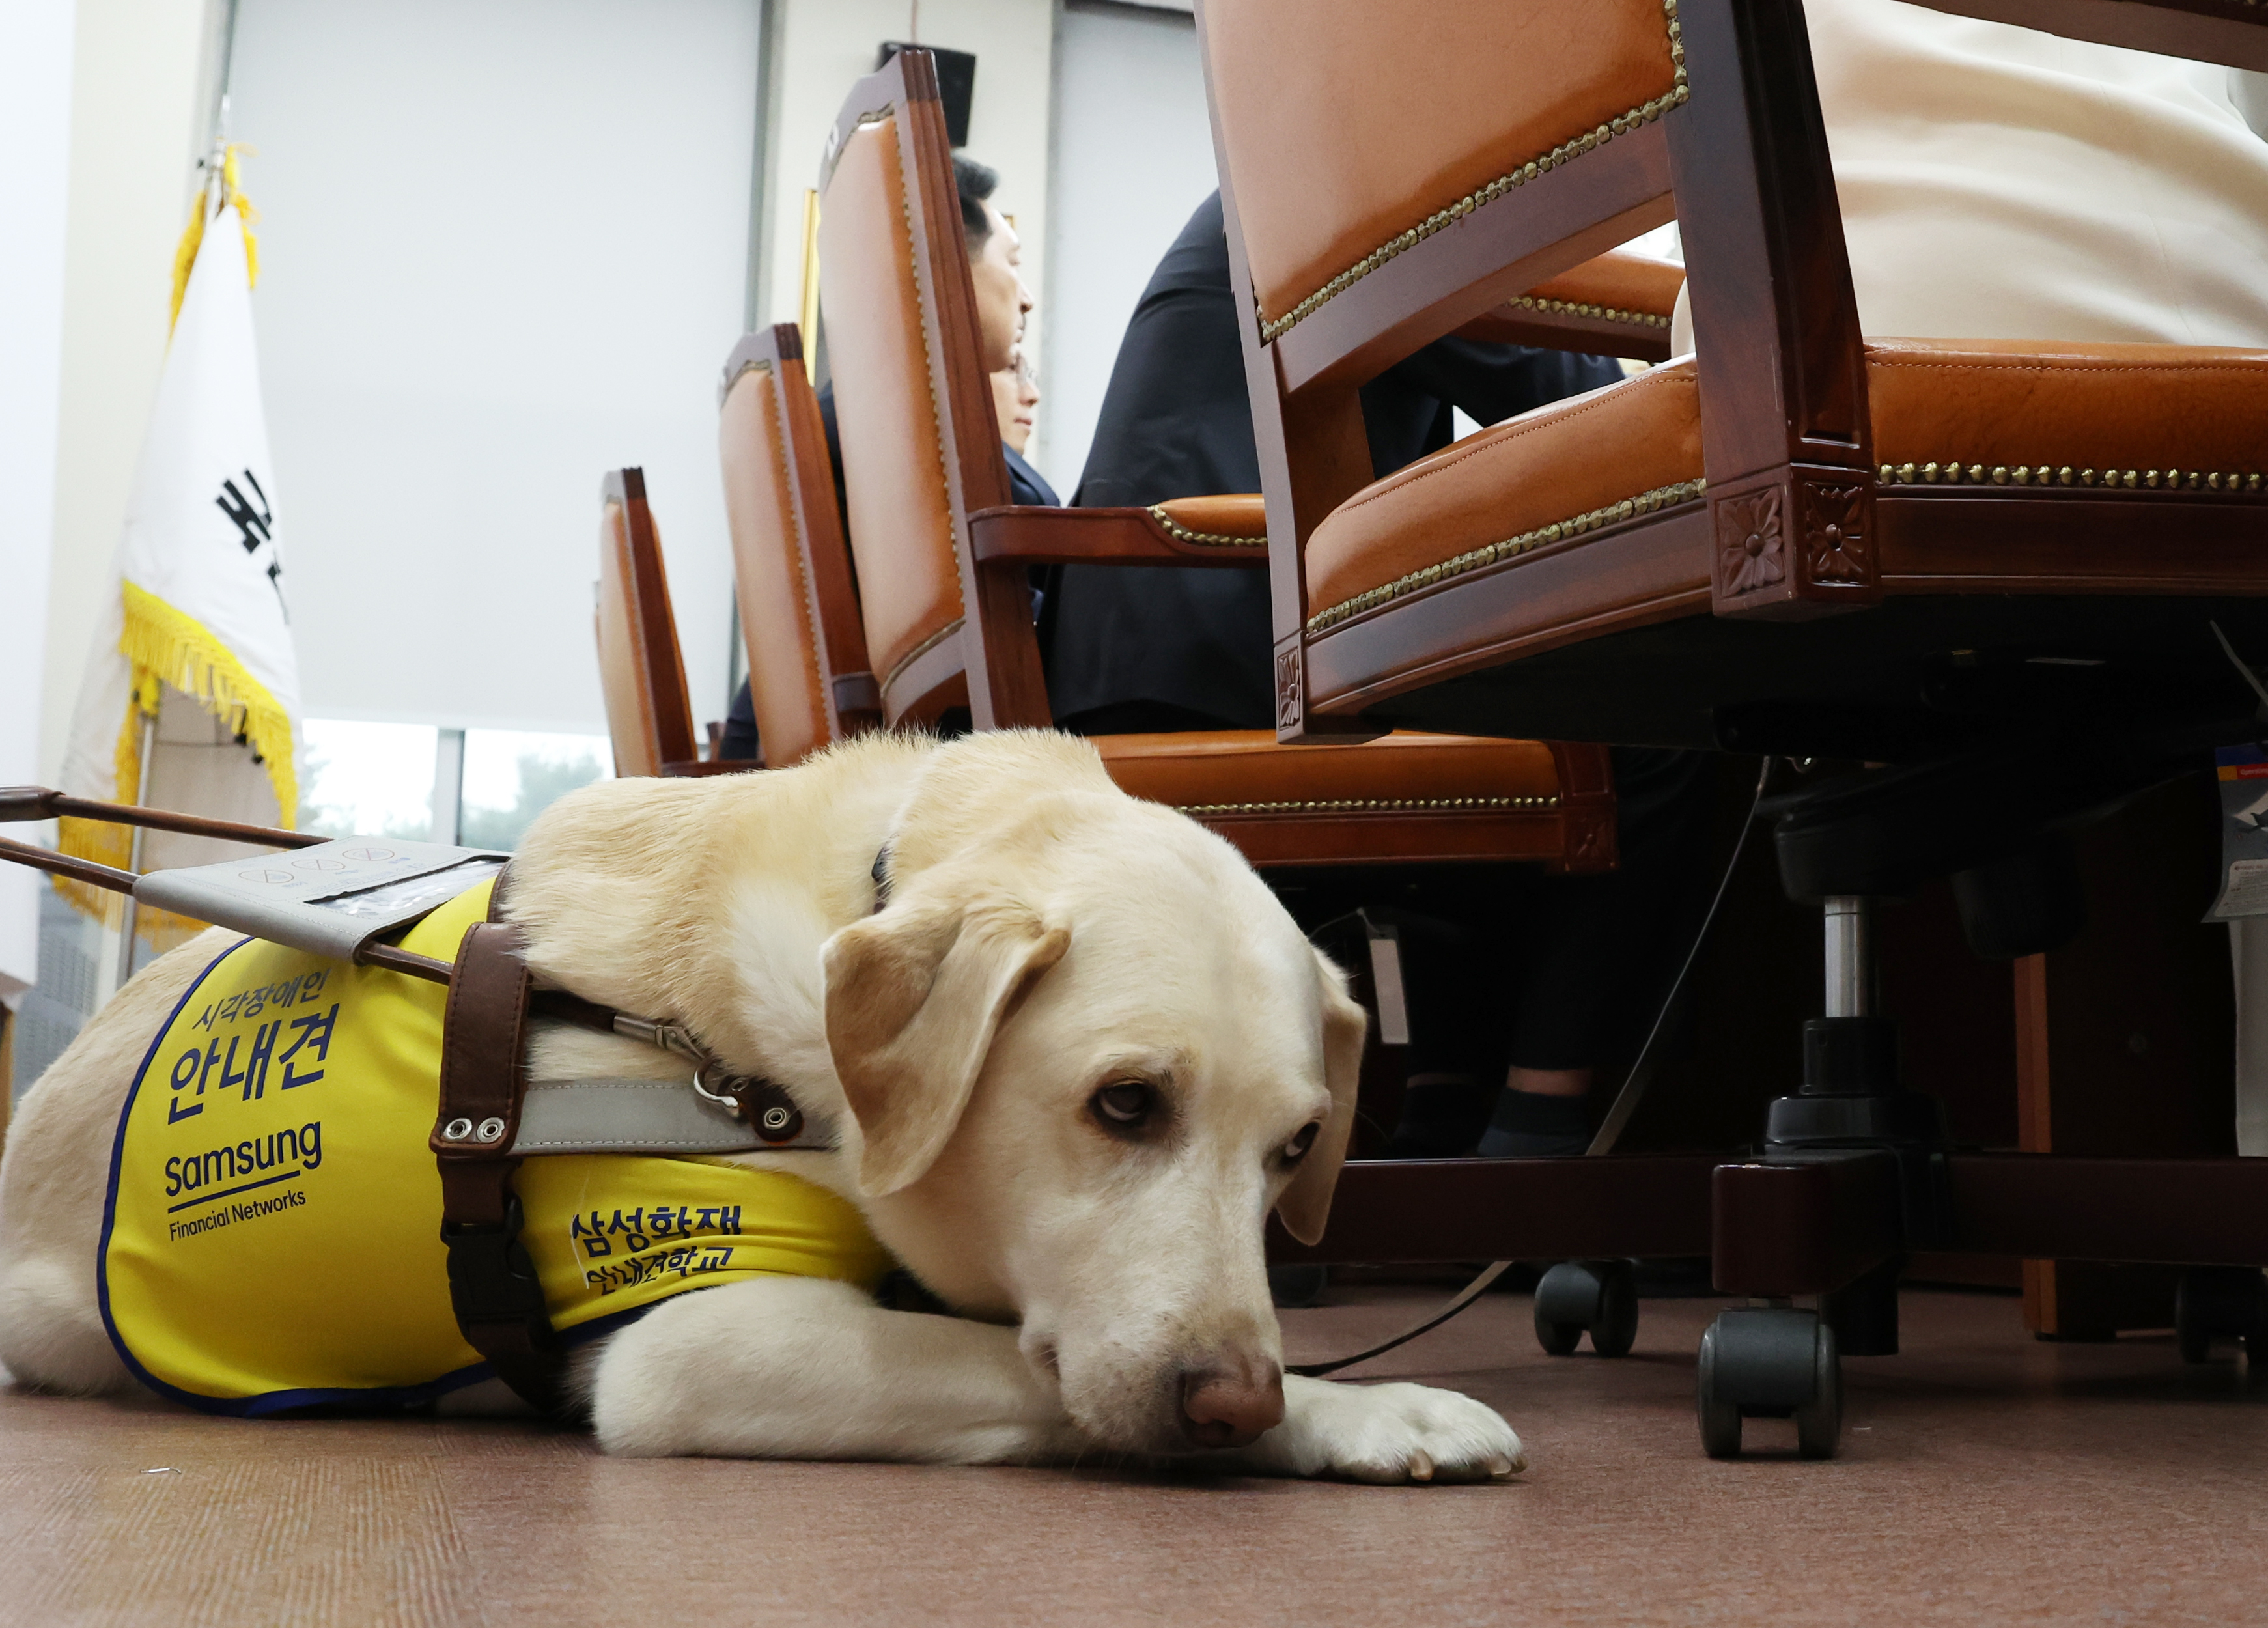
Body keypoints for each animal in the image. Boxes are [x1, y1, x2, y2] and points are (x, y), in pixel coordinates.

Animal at [4, 735, 1524, 1487]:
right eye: (1126, 1102)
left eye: (1294, 1148)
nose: (1232, 1397)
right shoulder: (696, 1334)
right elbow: (1026, 1375)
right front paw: (1362, 1405)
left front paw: (1356, 1405)